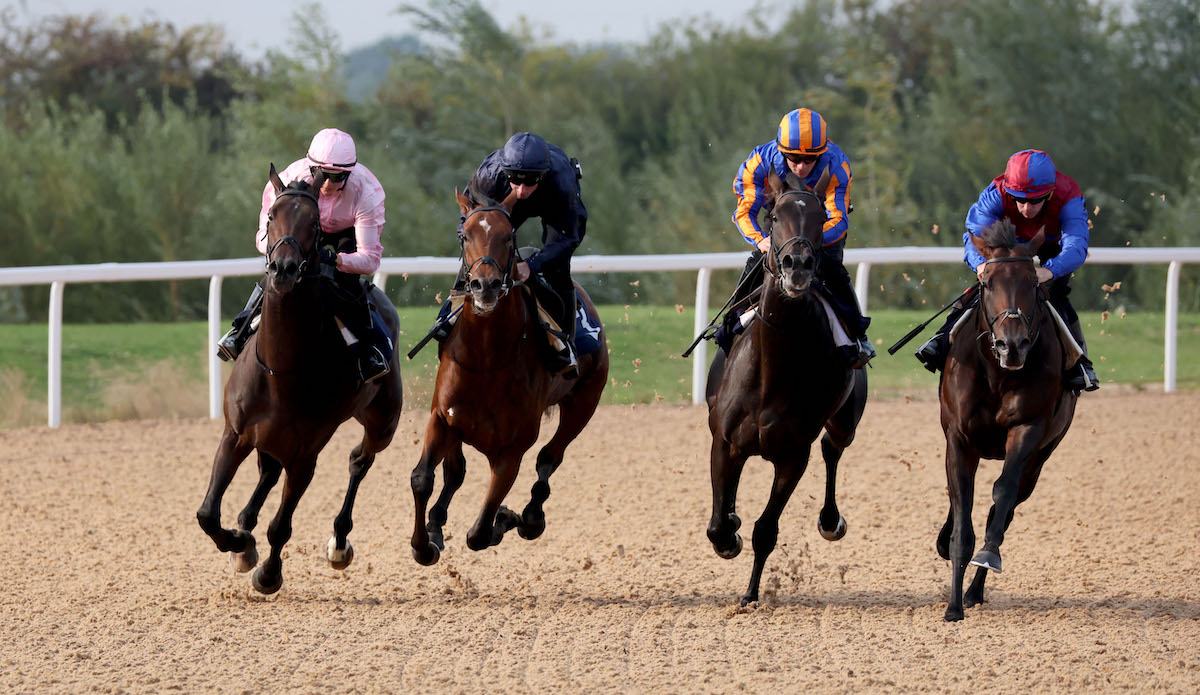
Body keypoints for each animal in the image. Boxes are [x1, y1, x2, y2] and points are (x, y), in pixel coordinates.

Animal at [195, 165, 403, 595]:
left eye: (315, 223)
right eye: (272, 216)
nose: (284, 269)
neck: (282, 369)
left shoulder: (306, 455)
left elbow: (281, 527)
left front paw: (268, 573)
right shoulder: (236, 432)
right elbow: (207, 513)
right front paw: (239, 543)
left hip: (383, 420)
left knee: (360, 461)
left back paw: (339, 543)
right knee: (268, 473)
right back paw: (245, 529)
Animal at [408, 186, 609, 566]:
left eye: (509, 236)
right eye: (465, 235)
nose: (484, 285)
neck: (487, 359)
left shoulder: (513, 446)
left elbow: (479, 532)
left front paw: (505, 518)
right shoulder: (443, 418)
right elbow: (423, 478)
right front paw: (424, 544)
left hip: (585, 402)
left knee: (549, 457)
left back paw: (530, 517)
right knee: (455, 472)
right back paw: (438, 525)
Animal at [700, 171, 864, 607]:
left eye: (822, 217)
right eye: (774, 216)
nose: (799, 265)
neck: (771, 371)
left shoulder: (793, 457)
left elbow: (765, 530)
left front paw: (751, 594)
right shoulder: (725, 443)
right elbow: (717, 525)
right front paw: (729, 536)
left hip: (845, 420)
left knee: (833, 447)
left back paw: (830, 521)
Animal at [936, 220, 1080, 624]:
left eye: (1033, 282)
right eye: (987, 283)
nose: (1011, 345)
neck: (997, 373)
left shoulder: (1027, 430)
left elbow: (1001, 496)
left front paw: (985, 558)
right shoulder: (959, 440)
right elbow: (961, 511)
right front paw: (952, 607)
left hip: (1041, 459)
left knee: (1007, 506)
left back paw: (975, 590)